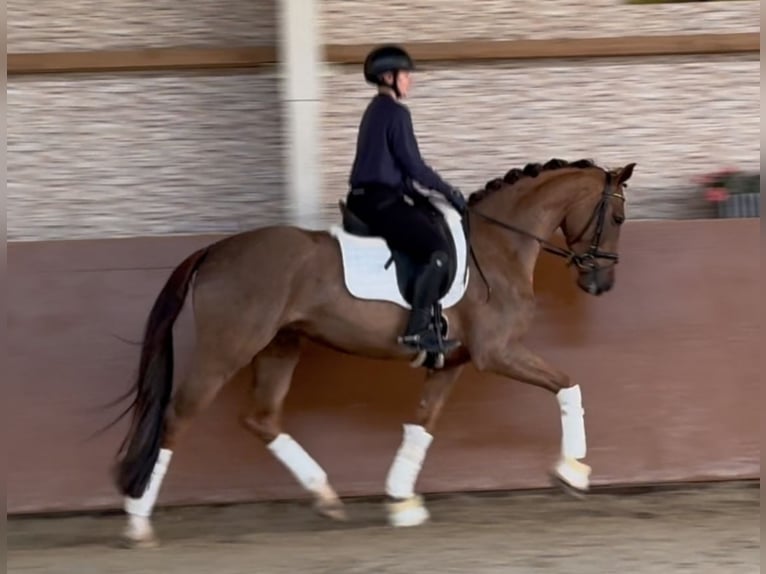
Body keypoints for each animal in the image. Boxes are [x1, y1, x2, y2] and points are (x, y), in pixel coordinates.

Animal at [109, 158, 636, 548]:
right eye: (617, 218)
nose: (602, 283)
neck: (498, 249)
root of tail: (215, 250)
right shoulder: (498, 352)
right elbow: (568, 384)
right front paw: (573, 471)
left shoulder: (454, 362)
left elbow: (422, 424)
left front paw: (401, 501)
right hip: (228, 348)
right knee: (176, 418)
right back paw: (138, 523)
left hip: (280, 346)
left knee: (261, 418)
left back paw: (325, 496)